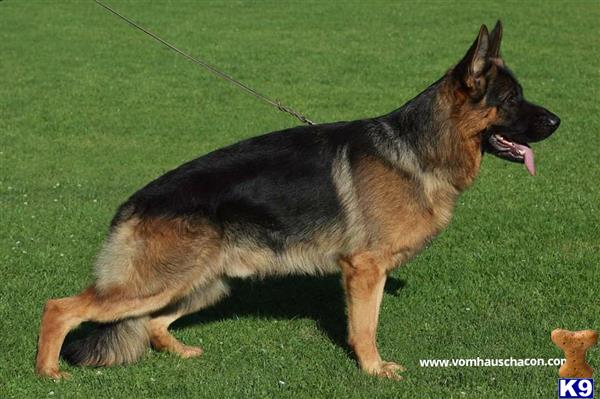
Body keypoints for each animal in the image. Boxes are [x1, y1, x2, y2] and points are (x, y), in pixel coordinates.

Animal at [36, 21, 564, 382]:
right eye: (511, 100)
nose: (559, 121)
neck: (418, 148)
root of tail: (132, 204)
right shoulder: (364, 270)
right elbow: (365, 327)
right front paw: (374, 371)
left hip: (204, 284)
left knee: (150, 325)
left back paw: (180, 352)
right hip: (159, 283)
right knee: (60, 307)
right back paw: (48, 373)